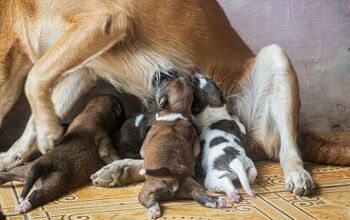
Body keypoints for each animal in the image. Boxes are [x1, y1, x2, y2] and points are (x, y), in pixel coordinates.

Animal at [138, 73, 226, 218]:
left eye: (164, 82)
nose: (157, 75)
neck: (174, 112)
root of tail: (172, 173)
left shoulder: (146, 141)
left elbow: (142, 151)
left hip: (149, 188)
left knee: (148, 199)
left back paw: (154, 210)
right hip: (191, 184)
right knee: (198, 194)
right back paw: (216, 201)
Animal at [191, 73, 258, 203]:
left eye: (197, 82)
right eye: (210, 81)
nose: (195, 74)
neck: (213, 109)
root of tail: (235, 160)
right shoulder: (240, 128)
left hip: (213, 178)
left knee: (228, 185)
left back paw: (233, 196)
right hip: (249, 165)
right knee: (251, 177)